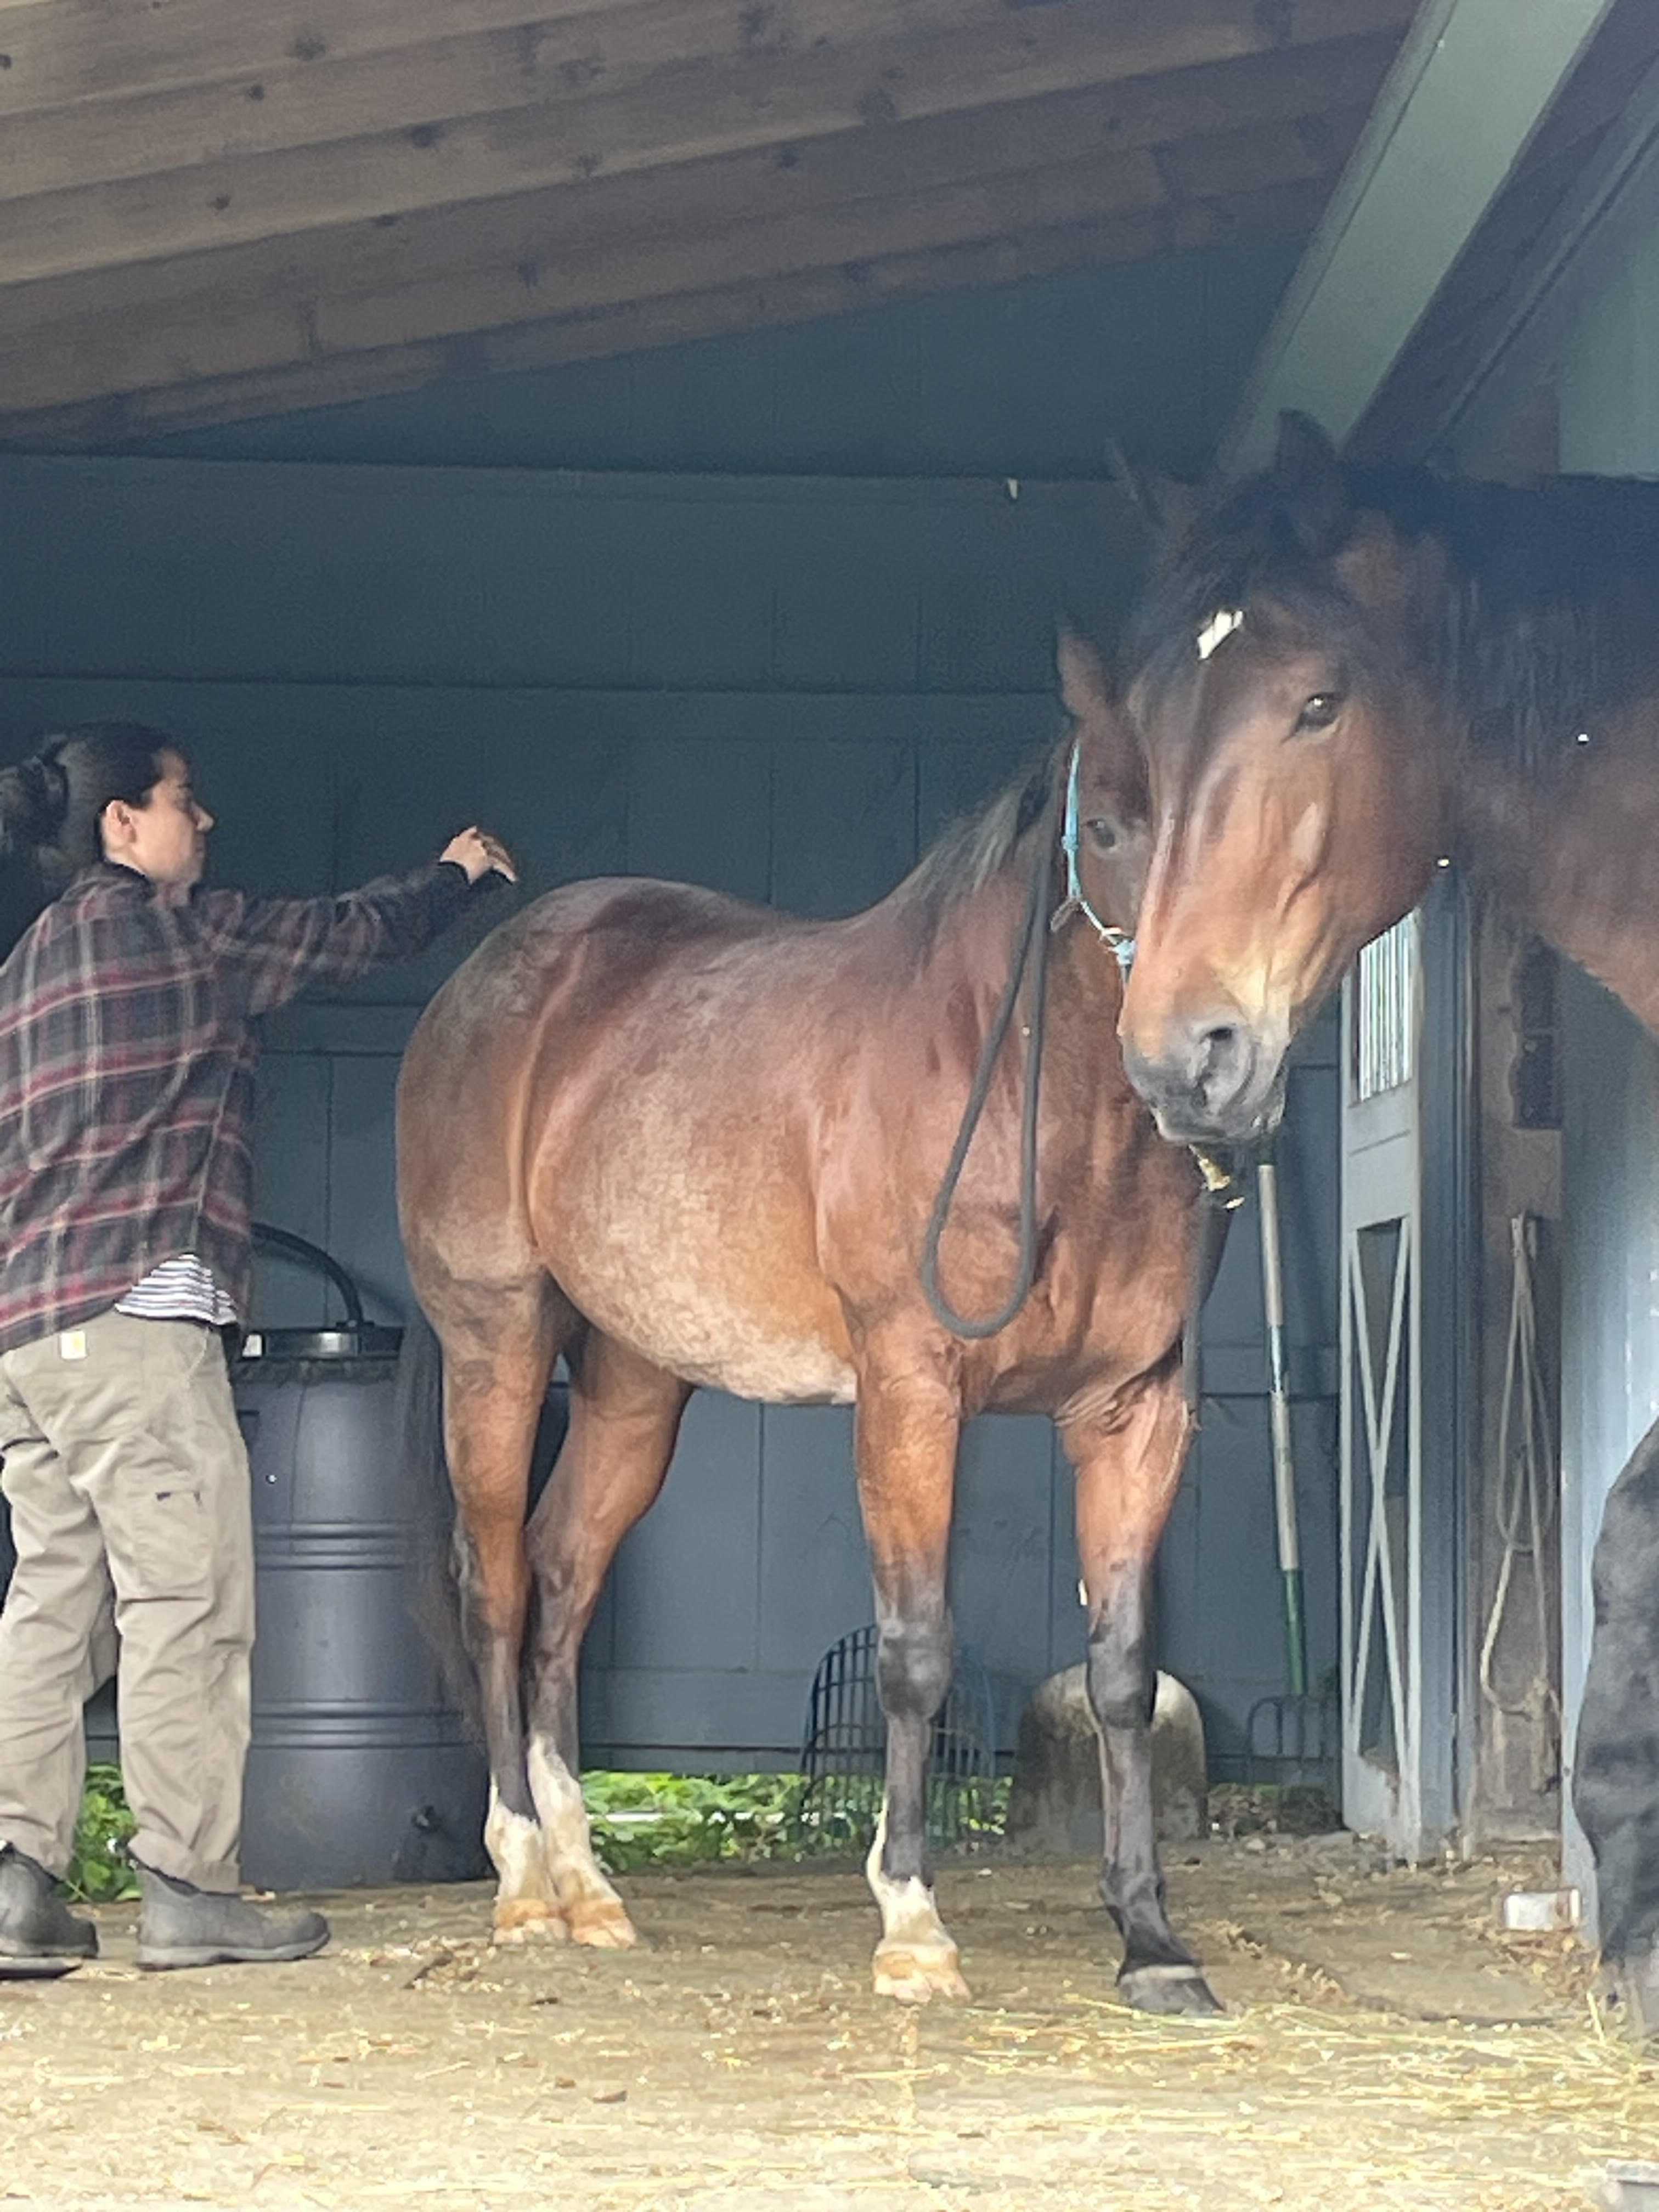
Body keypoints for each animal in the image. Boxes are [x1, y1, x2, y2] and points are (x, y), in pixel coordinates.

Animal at [395, 630, 1226, 2013]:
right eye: (1105, 826)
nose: (1202, 1059)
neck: (1020, 1095)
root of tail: (483, 980)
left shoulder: (1135, 1409)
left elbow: (1124, 1674)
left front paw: (1153, 1941)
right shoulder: (907, 1392)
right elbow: (917, 1647)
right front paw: (913, 1922)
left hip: (636, 1381)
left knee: (565, 1574)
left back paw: (587, 1884)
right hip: (496, 1343)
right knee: (499, 1579)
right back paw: (520, 1878)